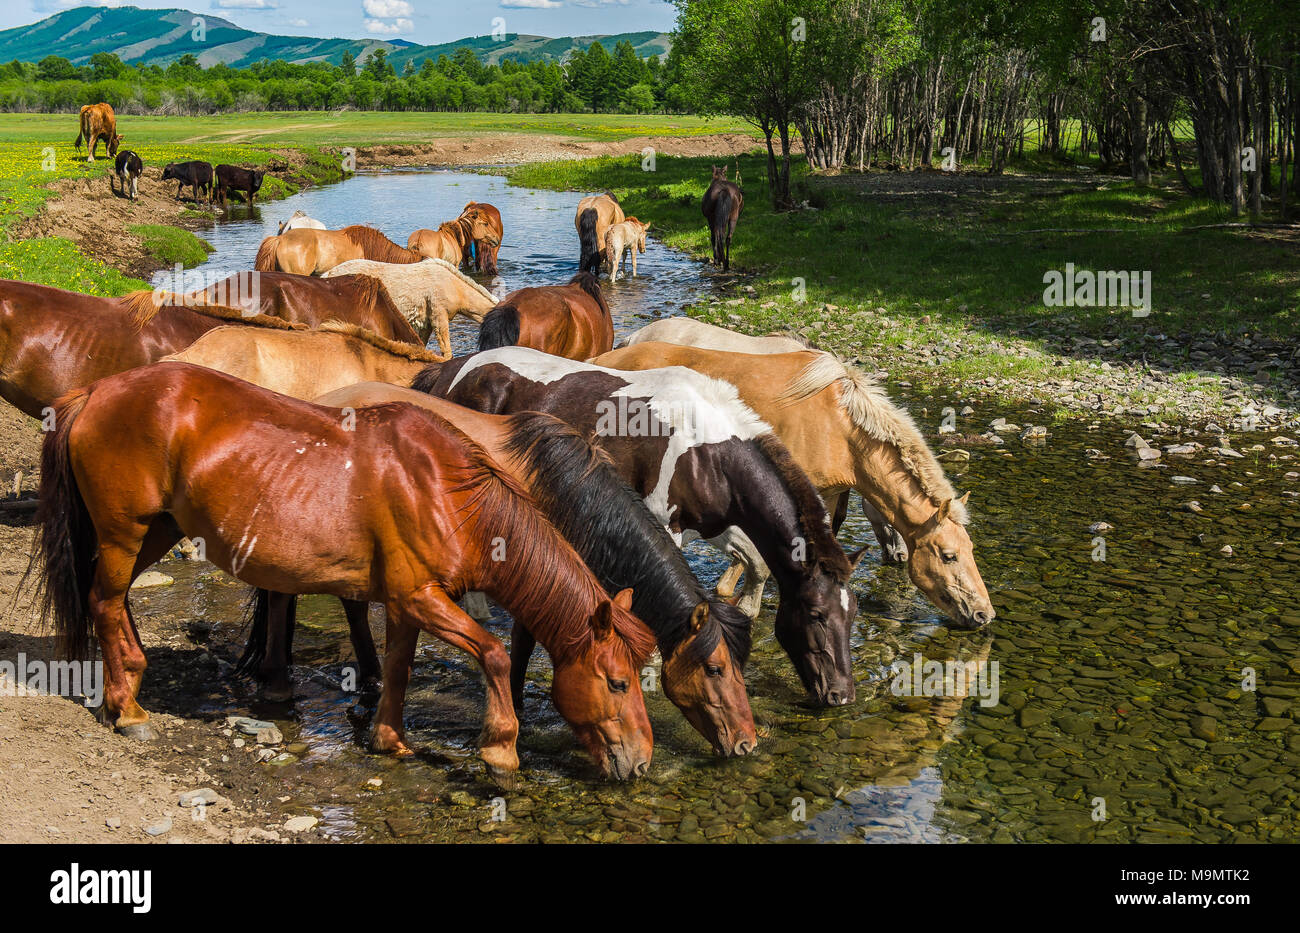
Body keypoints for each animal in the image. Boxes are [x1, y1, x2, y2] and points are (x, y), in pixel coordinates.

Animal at [29, 362, 657, 782]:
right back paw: (127, 708)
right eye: (618, 683)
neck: (444, 491)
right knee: (104, 601)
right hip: (124, 531)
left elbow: (399, 670)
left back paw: (131, 679)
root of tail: (93, 391)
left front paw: (389, 739)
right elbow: (497, 654)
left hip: (154, 531)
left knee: (114, 599)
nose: (642, 763)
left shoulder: (408, 603)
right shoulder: (424, 598)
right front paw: (500, 750)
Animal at [242, 382, 758, 757]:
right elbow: (523, 645)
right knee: (285, 595)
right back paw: (287, 681)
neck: (555, 489)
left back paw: (366, 674)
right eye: (715, 668)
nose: (747, 743)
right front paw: (514, 709)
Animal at [412, 346, 864, 706]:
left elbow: (753, 563)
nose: (841, 695)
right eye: (817, 614)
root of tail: (450, 370)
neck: (707, 450)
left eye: (853, 613)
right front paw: (652, 666)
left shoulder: (716, 526)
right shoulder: (665, 525)